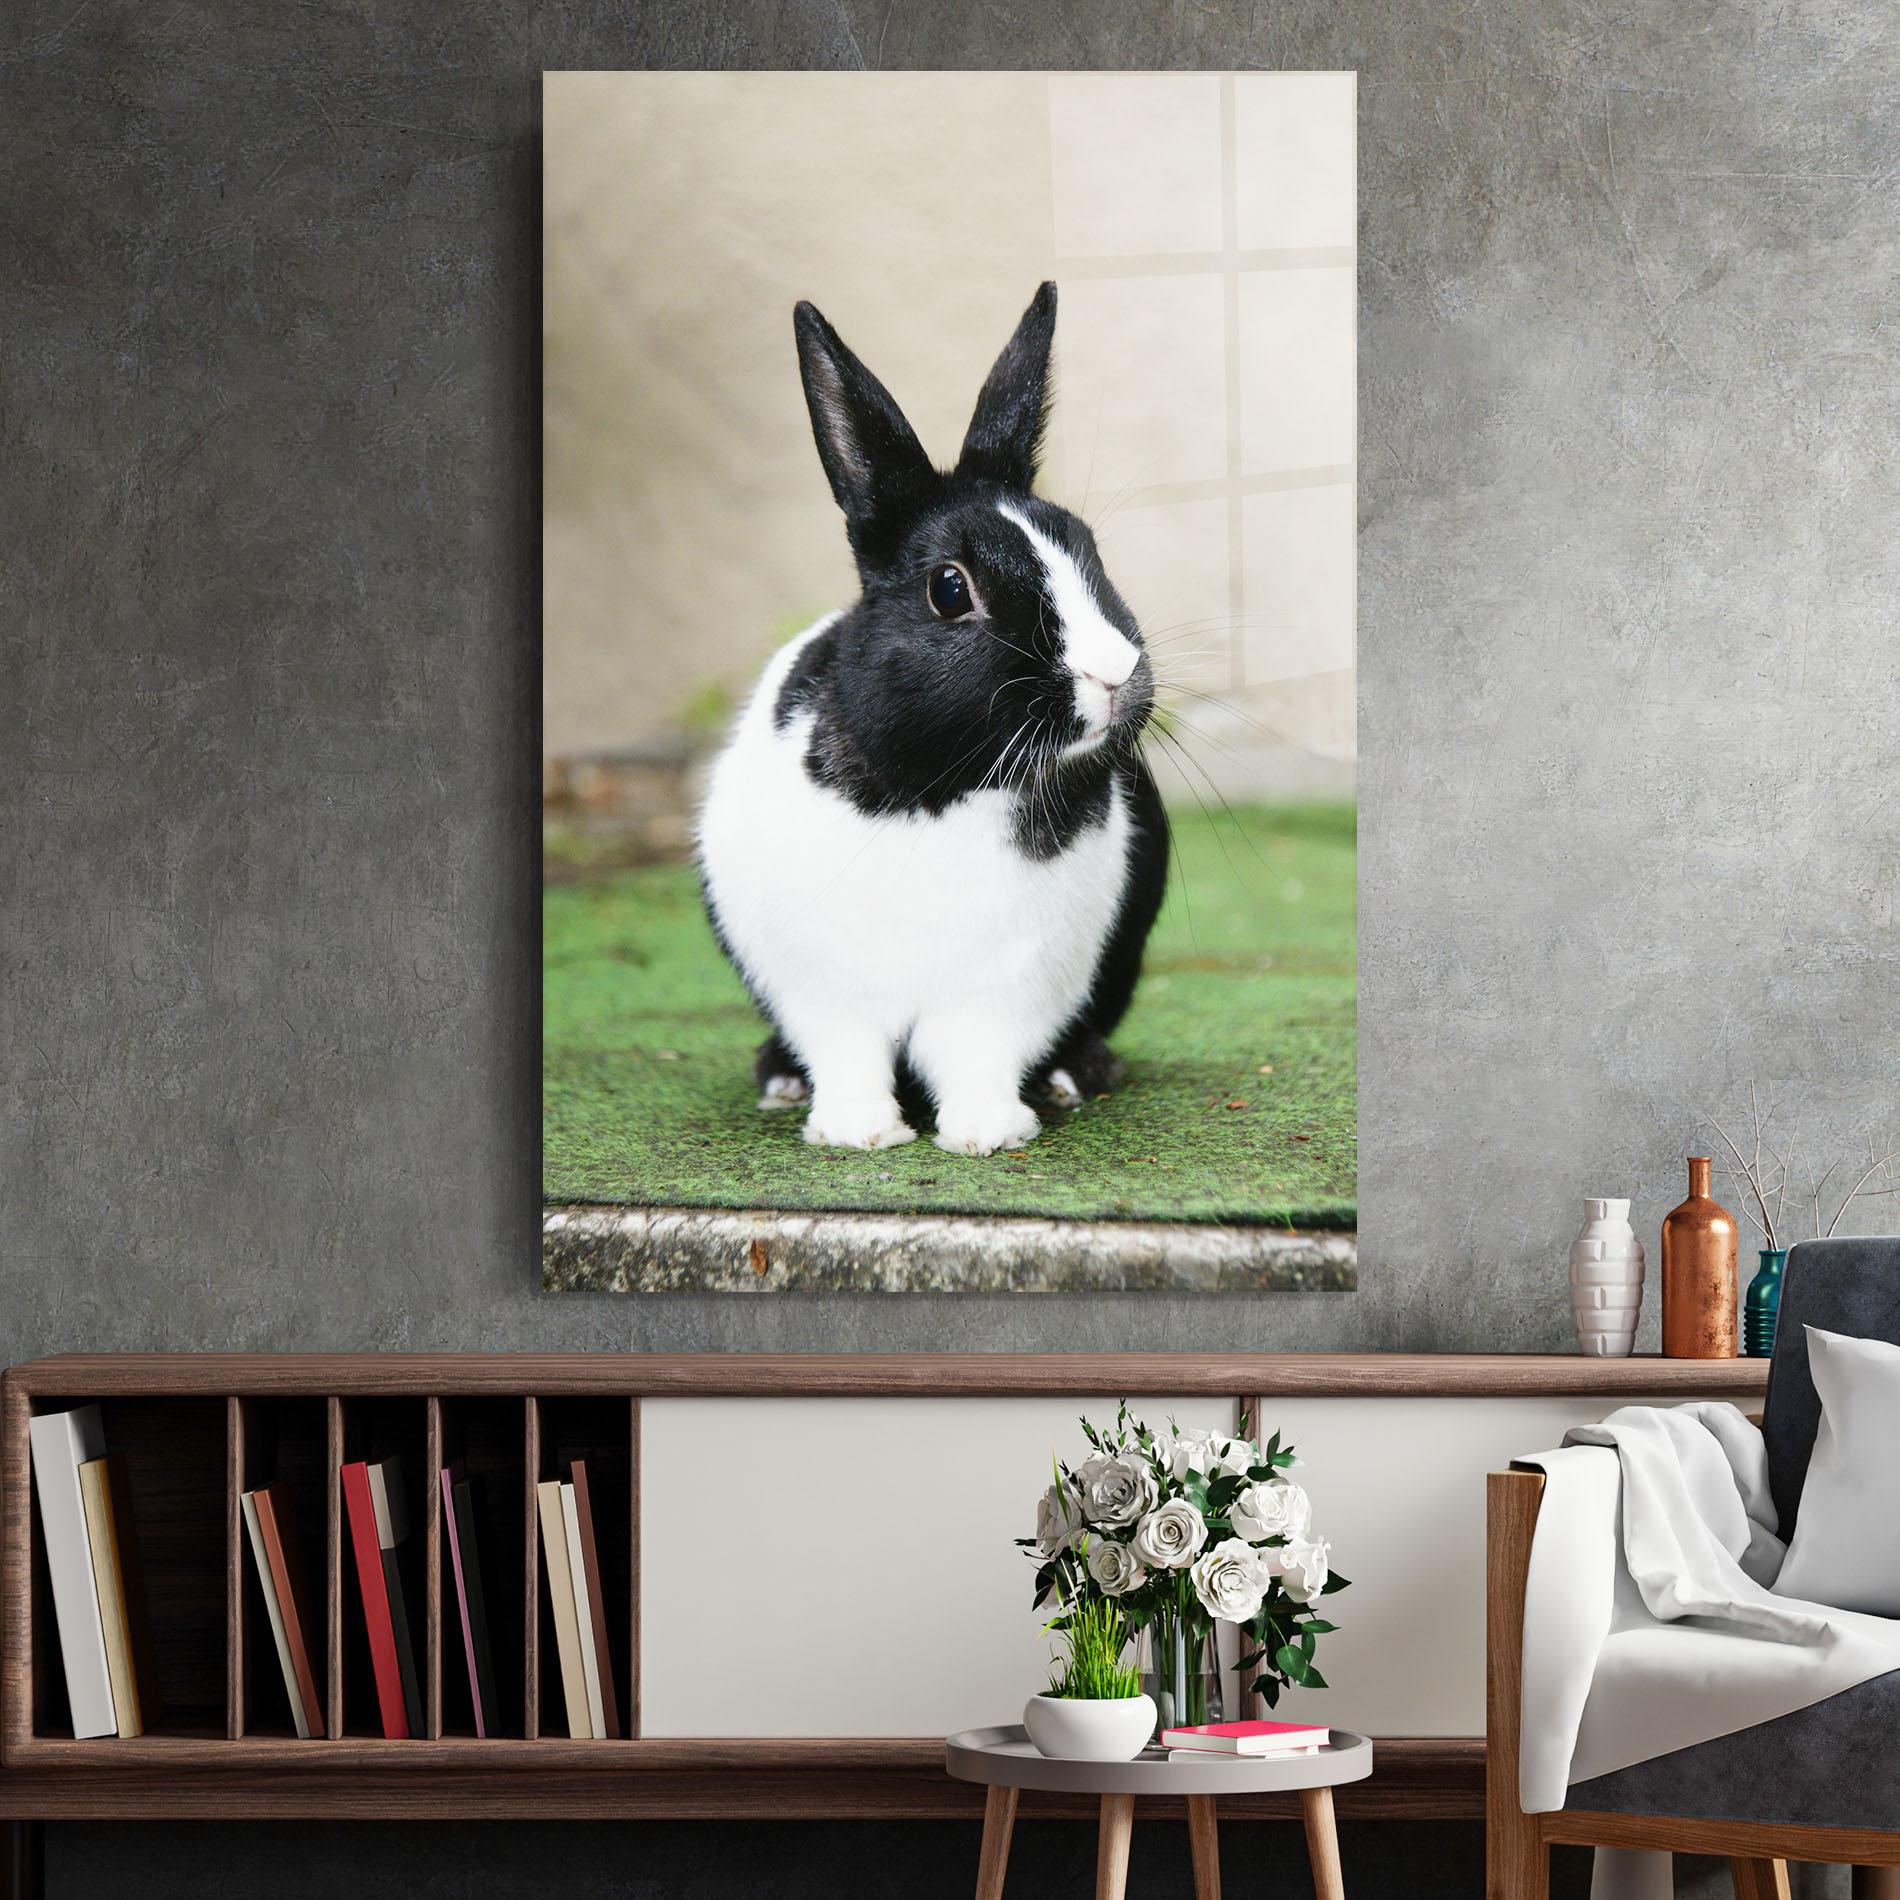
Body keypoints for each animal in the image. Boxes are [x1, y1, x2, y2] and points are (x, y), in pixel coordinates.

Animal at [696, 282, 1168, 1156]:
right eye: (951, 589)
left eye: (1088, 549)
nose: (1115, 674)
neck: (941, 789)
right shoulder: (826, 992)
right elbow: (848, 1056)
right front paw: (858, 1134)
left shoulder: (1004, 991)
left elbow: (977, 1057)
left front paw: (987, 1134)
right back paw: (779, 1080)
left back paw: (1075, 1075)